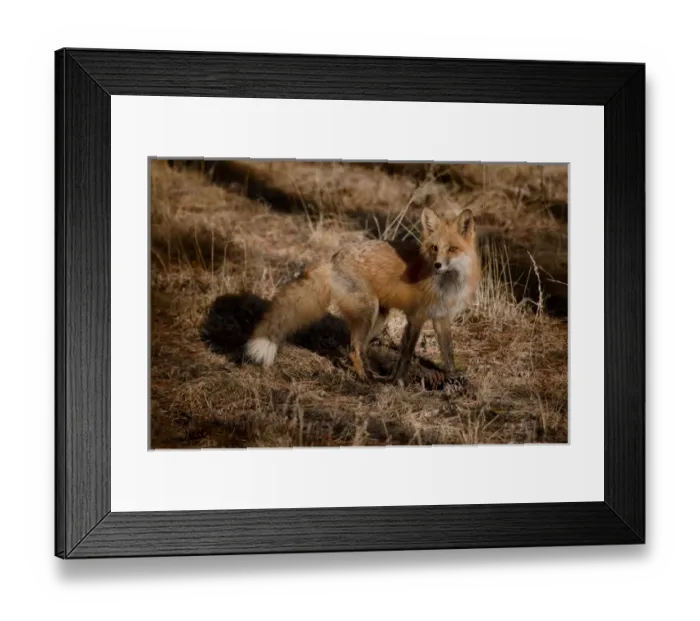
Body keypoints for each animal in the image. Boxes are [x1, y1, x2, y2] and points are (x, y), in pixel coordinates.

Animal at [245, 206, 481, 383]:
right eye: (434, 248)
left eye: (452, 249)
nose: (437, 265)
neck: (446, 284)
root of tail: (333, 259)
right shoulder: (417, 317)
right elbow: (406, 354)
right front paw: (398, 382)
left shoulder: (441, 316)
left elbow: (448, 351)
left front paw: (453, 377)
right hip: (369, 312)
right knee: (354, 349)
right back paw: (366, 379)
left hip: (378, 318)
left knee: (358, 347)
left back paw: (371, 373)